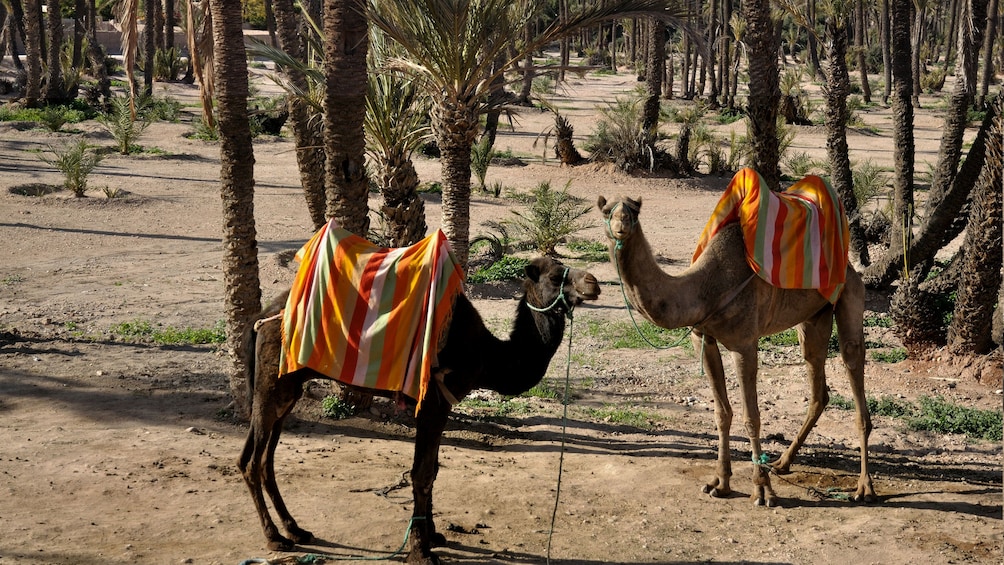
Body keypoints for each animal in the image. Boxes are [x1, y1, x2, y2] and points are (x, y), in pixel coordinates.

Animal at [238, 256, 598, 565]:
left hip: (287, 390)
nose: (593, 283)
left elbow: (433, 470)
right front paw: (421, 550)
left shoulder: (441, 407)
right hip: (273, 385)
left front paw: (433, 535)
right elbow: (422, 474)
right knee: (254, 462)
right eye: (555, 276)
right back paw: (274, 537)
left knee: (263, 459)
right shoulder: (433, 405)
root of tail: (262, 318)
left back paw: (295, 529)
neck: (486, 354)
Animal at [598, 195, 875, 507]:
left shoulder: (744, 343)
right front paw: (719, 482)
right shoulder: (702, 338)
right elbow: (722, 412)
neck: (706, 289)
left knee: (852, 363)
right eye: (606, 211)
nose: (621, 226)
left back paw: (864, 487)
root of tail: (851, 266)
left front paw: (763, 490)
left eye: (633, 211)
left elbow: (751, 417)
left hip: (850, 294)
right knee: (817, 382)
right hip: (814, 316)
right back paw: (783, 462)